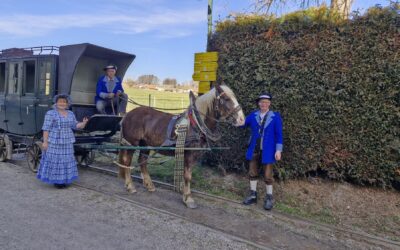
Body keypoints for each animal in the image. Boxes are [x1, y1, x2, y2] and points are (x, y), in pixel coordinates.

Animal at [117, 85, 245, 208]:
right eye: (226, 99)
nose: (241, 119)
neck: (196, 124)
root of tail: (128, 114)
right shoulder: (189, 154)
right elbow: (188, 176)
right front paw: (188, 198)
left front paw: (185, 194)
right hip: (132, 143)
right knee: (127, 162)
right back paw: (130, 186)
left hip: (145, 144)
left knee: (142, 161)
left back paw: (149, 185)